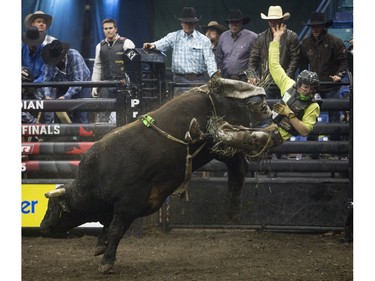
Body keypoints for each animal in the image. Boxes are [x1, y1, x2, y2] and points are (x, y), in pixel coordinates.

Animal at [39, 83, 254, 272]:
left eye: (53, 207)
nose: (42, 226)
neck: (99, 174)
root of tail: (235, 101)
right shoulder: (117, 207)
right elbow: (107, 225)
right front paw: (100, 245)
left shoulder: (128, 205)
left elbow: (115, 229)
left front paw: (106, 261)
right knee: (238, 168)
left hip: (225, 146)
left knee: (238, 169)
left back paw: (233, 210)